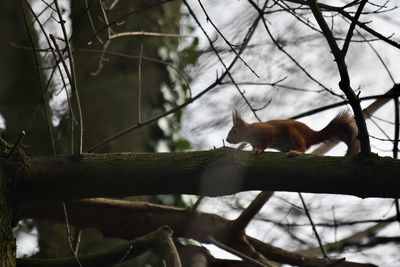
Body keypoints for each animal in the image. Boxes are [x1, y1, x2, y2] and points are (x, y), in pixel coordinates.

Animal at [227, 110, 360, 156]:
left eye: (234, 131)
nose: (227, 139)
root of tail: (311, 135)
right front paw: (254, 149)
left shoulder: (267, 132)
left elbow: (268, 140)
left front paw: (259, 149)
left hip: (294, 134)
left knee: (303, 149)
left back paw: (297, 152)